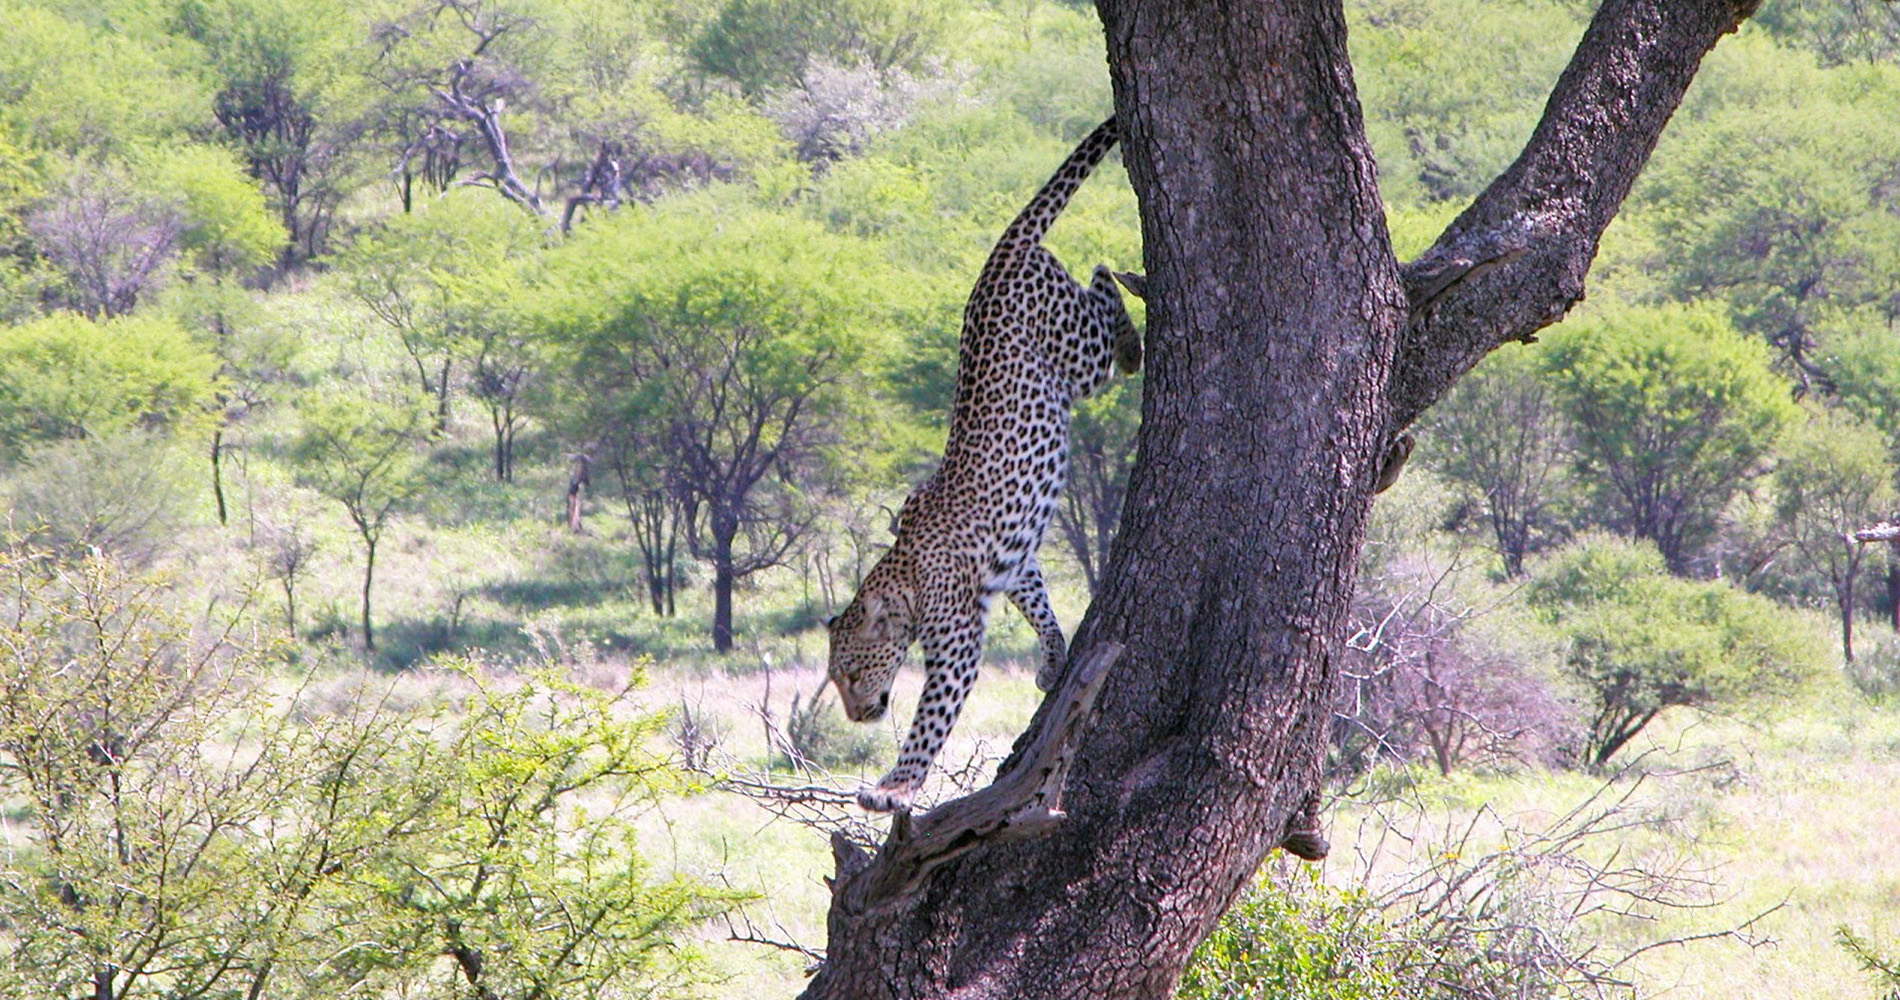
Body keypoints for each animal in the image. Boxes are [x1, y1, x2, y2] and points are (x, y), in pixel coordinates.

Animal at [820, 115, 1140, 813]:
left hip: (1076, 353)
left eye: (851, 672)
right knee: (1098, 277)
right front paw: (1053, 660)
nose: (857, 713)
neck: (905, 577)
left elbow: (930, 720)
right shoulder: (1013, 564)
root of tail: (998, 253)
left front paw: (895, 788)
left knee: (1103, 281)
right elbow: (1039, 600)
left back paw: (1133, 330)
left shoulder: (959, 643)